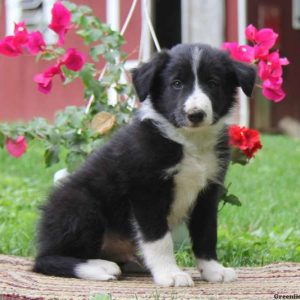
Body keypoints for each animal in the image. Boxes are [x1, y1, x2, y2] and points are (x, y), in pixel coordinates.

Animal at [33, 43, 255, 288]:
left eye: (213, 83)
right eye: (176, 83)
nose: (195, 114)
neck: (188, 141)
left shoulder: (207, 191)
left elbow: (206, 233)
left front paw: (213, 270)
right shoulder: (147, 191)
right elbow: (159, 238)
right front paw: (170, 274)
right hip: (81, 206)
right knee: (44, 260)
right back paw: (99, 267)